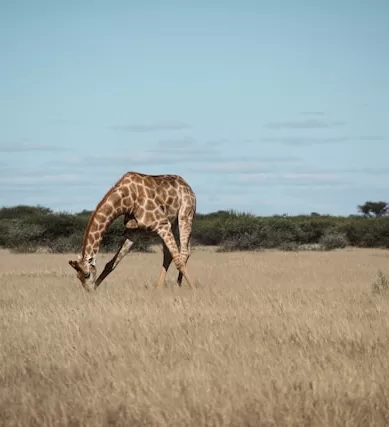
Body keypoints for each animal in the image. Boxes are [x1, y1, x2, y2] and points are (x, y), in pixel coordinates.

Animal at [67, 171, 197, 290]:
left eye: (87, 274)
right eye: (78, 277)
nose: (88, 290)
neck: (126, 200)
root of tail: (187, 186)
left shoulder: (162, 224)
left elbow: (178, 260)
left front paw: (194, 289)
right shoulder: (133, 232)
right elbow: (111, 264)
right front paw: (96, 289)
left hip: (185, 215)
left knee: (183, 253)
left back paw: (178, 285)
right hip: (173, 224)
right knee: (170, 255)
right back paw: (159, 288)